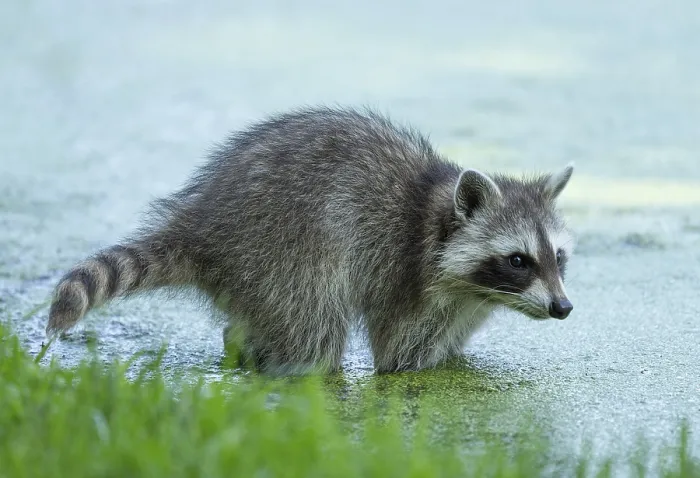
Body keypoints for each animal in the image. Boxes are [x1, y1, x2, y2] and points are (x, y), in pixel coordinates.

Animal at [46, 106, 575, 375]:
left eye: (558, 256)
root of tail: (201, 224)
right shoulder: (403, 274)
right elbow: (399, 357)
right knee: (315, 331)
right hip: (286, 251)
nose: (563, 308)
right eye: (519, 260)